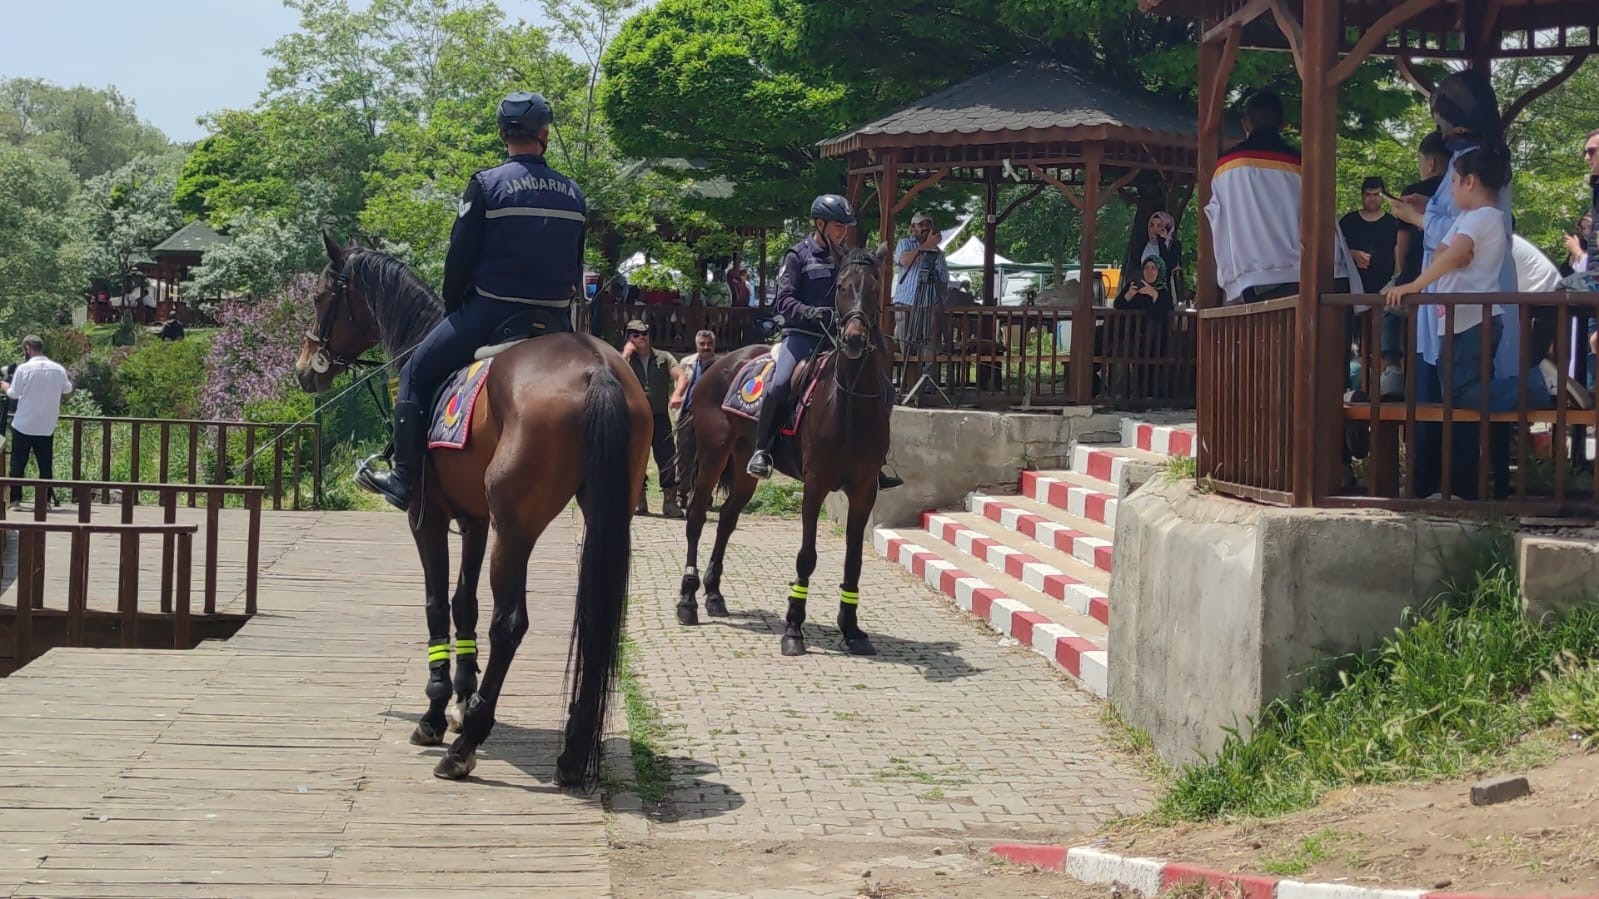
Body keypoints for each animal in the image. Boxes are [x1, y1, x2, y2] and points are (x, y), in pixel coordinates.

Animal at [294, 239, 649, 783]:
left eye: (318, 297)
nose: (304, 366)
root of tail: (597, 368)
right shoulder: (476, 521)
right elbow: (464, 603)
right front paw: (461, 693)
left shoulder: (429, 517)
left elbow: (437, 604)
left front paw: (437, 712)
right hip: (603, 519)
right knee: (593, 617)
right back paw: (570, 751)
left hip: (516, 528)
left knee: (509, 623)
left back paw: (465, 745)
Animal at [674, 243, 895, 649]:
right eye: (841, 287)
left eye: (875, 287)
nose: (855, 339)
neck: (849, 400)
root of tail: (718, 364)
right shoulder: (815, 484)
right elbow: (806, 556)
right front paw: (793, 627)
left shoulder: (864, 491)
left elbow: (854, 559)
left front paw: (851, 627)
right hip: (713, 457)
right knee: (697, 517)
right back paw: (688, 599)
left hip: (745, 467)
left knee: (727, 518)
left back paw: (714, 594)